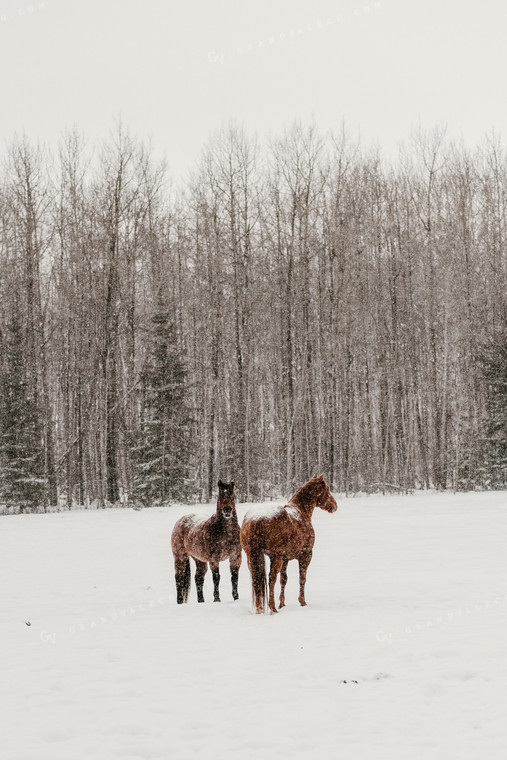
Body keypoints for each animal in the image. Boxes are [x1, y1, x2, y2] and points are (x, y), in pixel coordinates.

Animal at [241, 478, 338, 616]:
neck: (301, 511)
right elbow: (302, 578)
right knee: (271, 579)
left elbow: (284, 579)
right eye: (327, 488)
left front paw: (282, 603)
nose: (334, 506)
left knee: (256, 580)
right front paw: (302, 602)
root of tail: (257, 519)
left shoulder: (285, 559)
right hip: (275, 558)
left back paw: (260, 608)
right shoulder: (306, 555)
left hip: (252, 557)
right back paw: (272, 608)